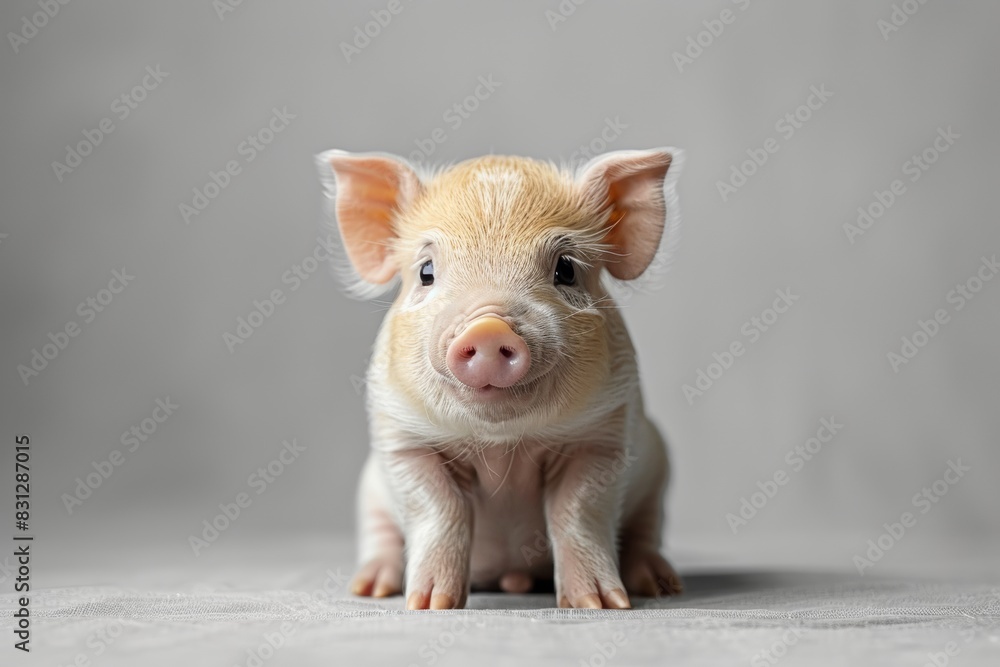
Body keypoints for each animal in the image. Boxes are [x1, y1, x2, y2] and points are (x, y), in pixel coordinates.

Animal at [315, 147, 684, 609]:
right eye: (426, 271)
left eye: (566, 269)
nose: (488, 329)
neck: (502, 446)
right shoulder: (401, 438)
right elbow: (440, 509)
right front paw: (429, 604)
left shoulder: (604, 435)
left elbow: (577, 510)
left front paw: (601, 604)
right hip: (369, 491)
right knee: (380, 535)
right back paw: (371, 587)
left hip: (658, 469)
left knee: (644, 531)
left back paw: (660, 585)